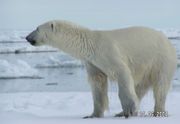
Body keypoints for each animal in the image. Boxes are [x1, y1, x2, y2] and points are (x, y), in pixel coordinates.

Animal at [26, 20, 176, 118]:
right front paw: (93, 115)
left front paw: (129, 110)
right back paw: (121, 112)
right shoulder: (93, 62)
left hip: (160, 59)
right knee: (140, 87)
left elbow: (122, 73)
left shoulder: (108, 53)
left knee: (160, 86)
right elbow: (97, 83)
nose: (27, 37)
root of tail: (168, 41)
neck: (90, 44)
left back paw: (158, 112)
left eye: (37, 28)